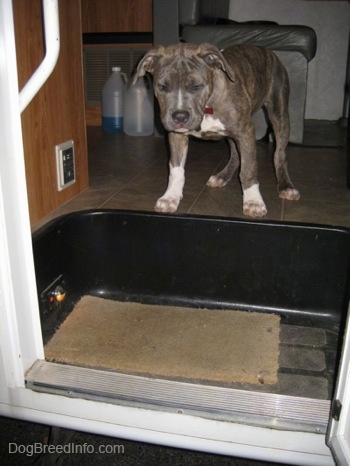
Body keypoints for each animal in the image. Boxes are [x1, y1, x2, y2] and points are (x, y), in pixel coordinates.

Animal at [135, 42, 300, 218]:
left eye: (197, 86)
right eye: (162, 87)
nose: (180, 116)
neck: (207, 105)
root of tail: (268, 51)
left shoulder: (245, 131)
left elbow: (249, 168)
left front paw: (253, 202)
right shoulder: (177, 135)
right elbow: (176, 169)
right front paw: (170, 197)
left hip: (279, 113)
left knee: (279, 154)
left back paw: (286, 186)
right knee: (235, 154)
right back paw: (222, 177)